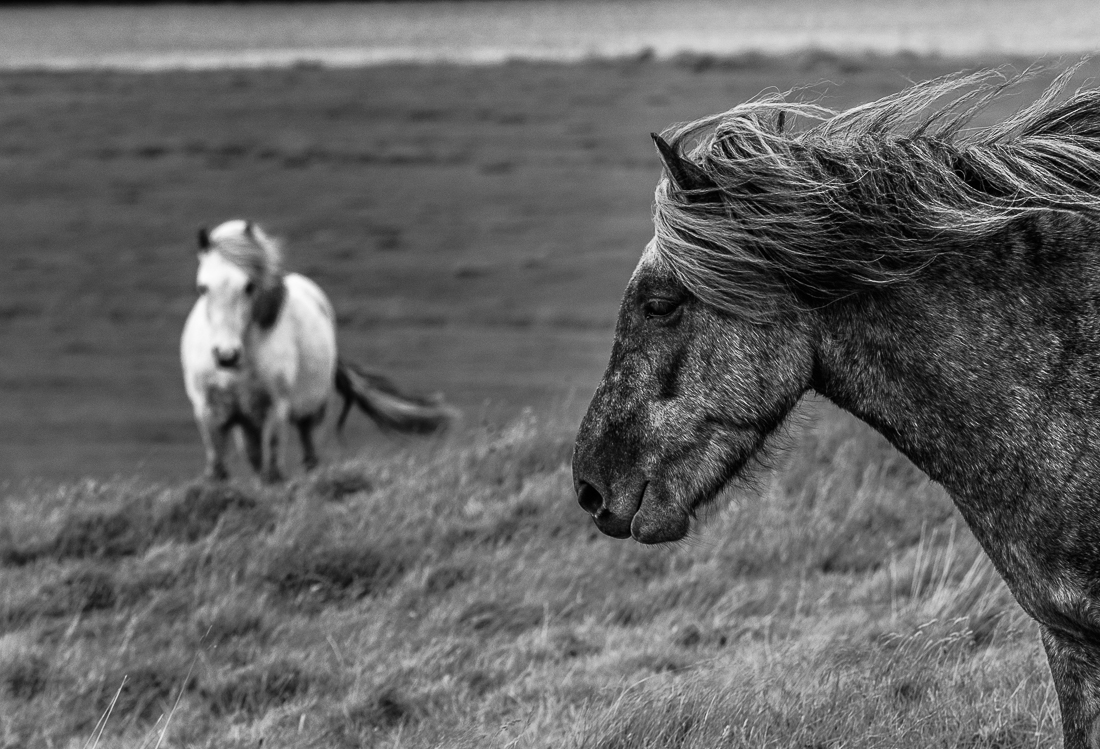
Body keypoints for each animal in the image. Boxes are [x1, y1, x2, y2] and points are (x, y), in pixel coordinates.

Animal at [181, 219, 455, 483]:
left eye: (249, 286)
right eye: (202, 287)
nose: (226, 355)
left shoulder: (276, 410)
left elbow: (273, 472)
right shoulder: (208, 413)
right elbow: (218, 470)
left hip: (311, 415)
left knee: (309, 456)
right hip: (247, 423)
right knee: (256, 458)